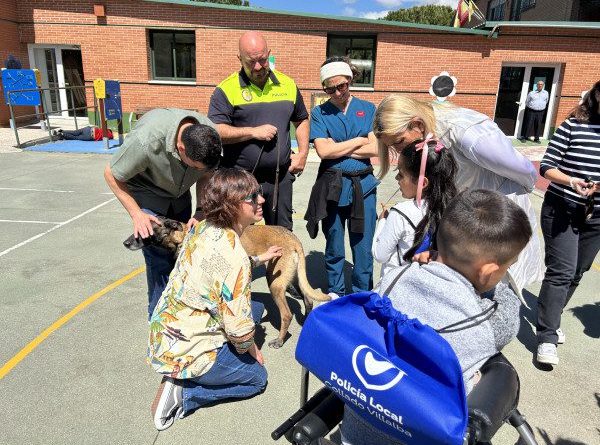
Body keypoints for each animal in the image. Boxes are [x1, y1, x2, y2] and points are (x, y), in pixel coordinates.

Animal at [122, 217, 328, 348]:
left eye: (145, 230)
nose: (125, 243)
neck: (182, 236)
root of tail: (294, 240)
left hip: (275, 283)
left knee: (286, 314)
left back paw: (279, 340)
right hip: (292, 278)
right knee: (308, 299)